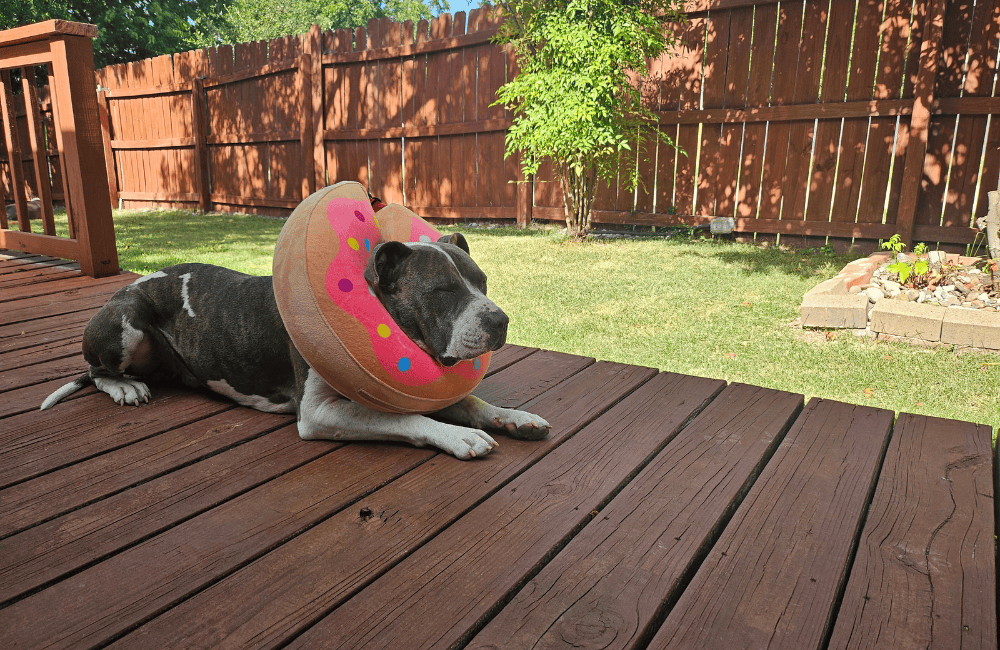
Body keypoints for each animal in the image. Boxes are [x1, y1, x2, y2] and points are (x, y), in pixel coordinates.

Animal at [43, 232, 552, 456]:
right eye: (442, 291)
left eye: (482, 282)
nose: (500, 320)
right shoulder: (320, 412)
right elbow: (406, 418)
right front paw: (458, 435)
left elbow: (473, 401)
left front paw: (514, 417)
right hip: (126, 321)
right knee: (96, 371)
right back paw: (125, 386)